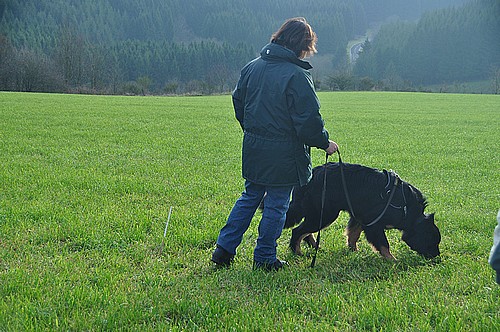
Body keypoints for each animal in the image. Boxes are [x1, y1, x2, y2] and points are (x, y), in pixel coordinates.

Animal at [286, 162, 442, 260]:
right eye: (432, 242)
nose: (437, 258)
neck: (406, 208)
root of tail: (312, 174)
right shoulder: (373, 223)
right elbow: (384, 244)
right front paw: (392, 260)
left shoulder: (360, 218)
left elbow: (353, 235)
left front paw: (353, 251)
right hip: (325, 214)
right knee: (298, 231)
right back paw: (297, 252)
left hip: (320, 215)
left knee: (305, 232)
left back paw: (315, 247)